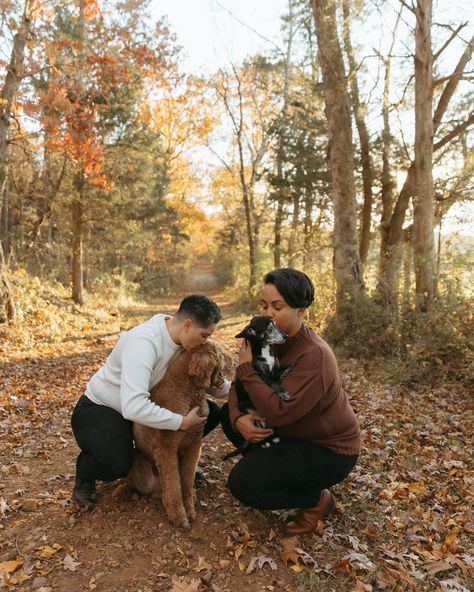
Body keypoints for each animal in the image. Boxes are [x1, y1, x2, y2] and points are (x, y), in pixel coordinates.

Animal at [223, 316, 290, 460]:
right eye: (270, 329)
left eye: (276, 324)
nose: (286, 336)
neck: (265, 350)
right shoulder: (261, 375)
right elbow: (274, 384)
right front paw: (283, 392)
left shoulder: (274, 369)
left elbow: (280, 372)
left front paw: (287, 369)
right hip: (250, 411)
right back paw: (264, 442)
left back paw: (273, 437)